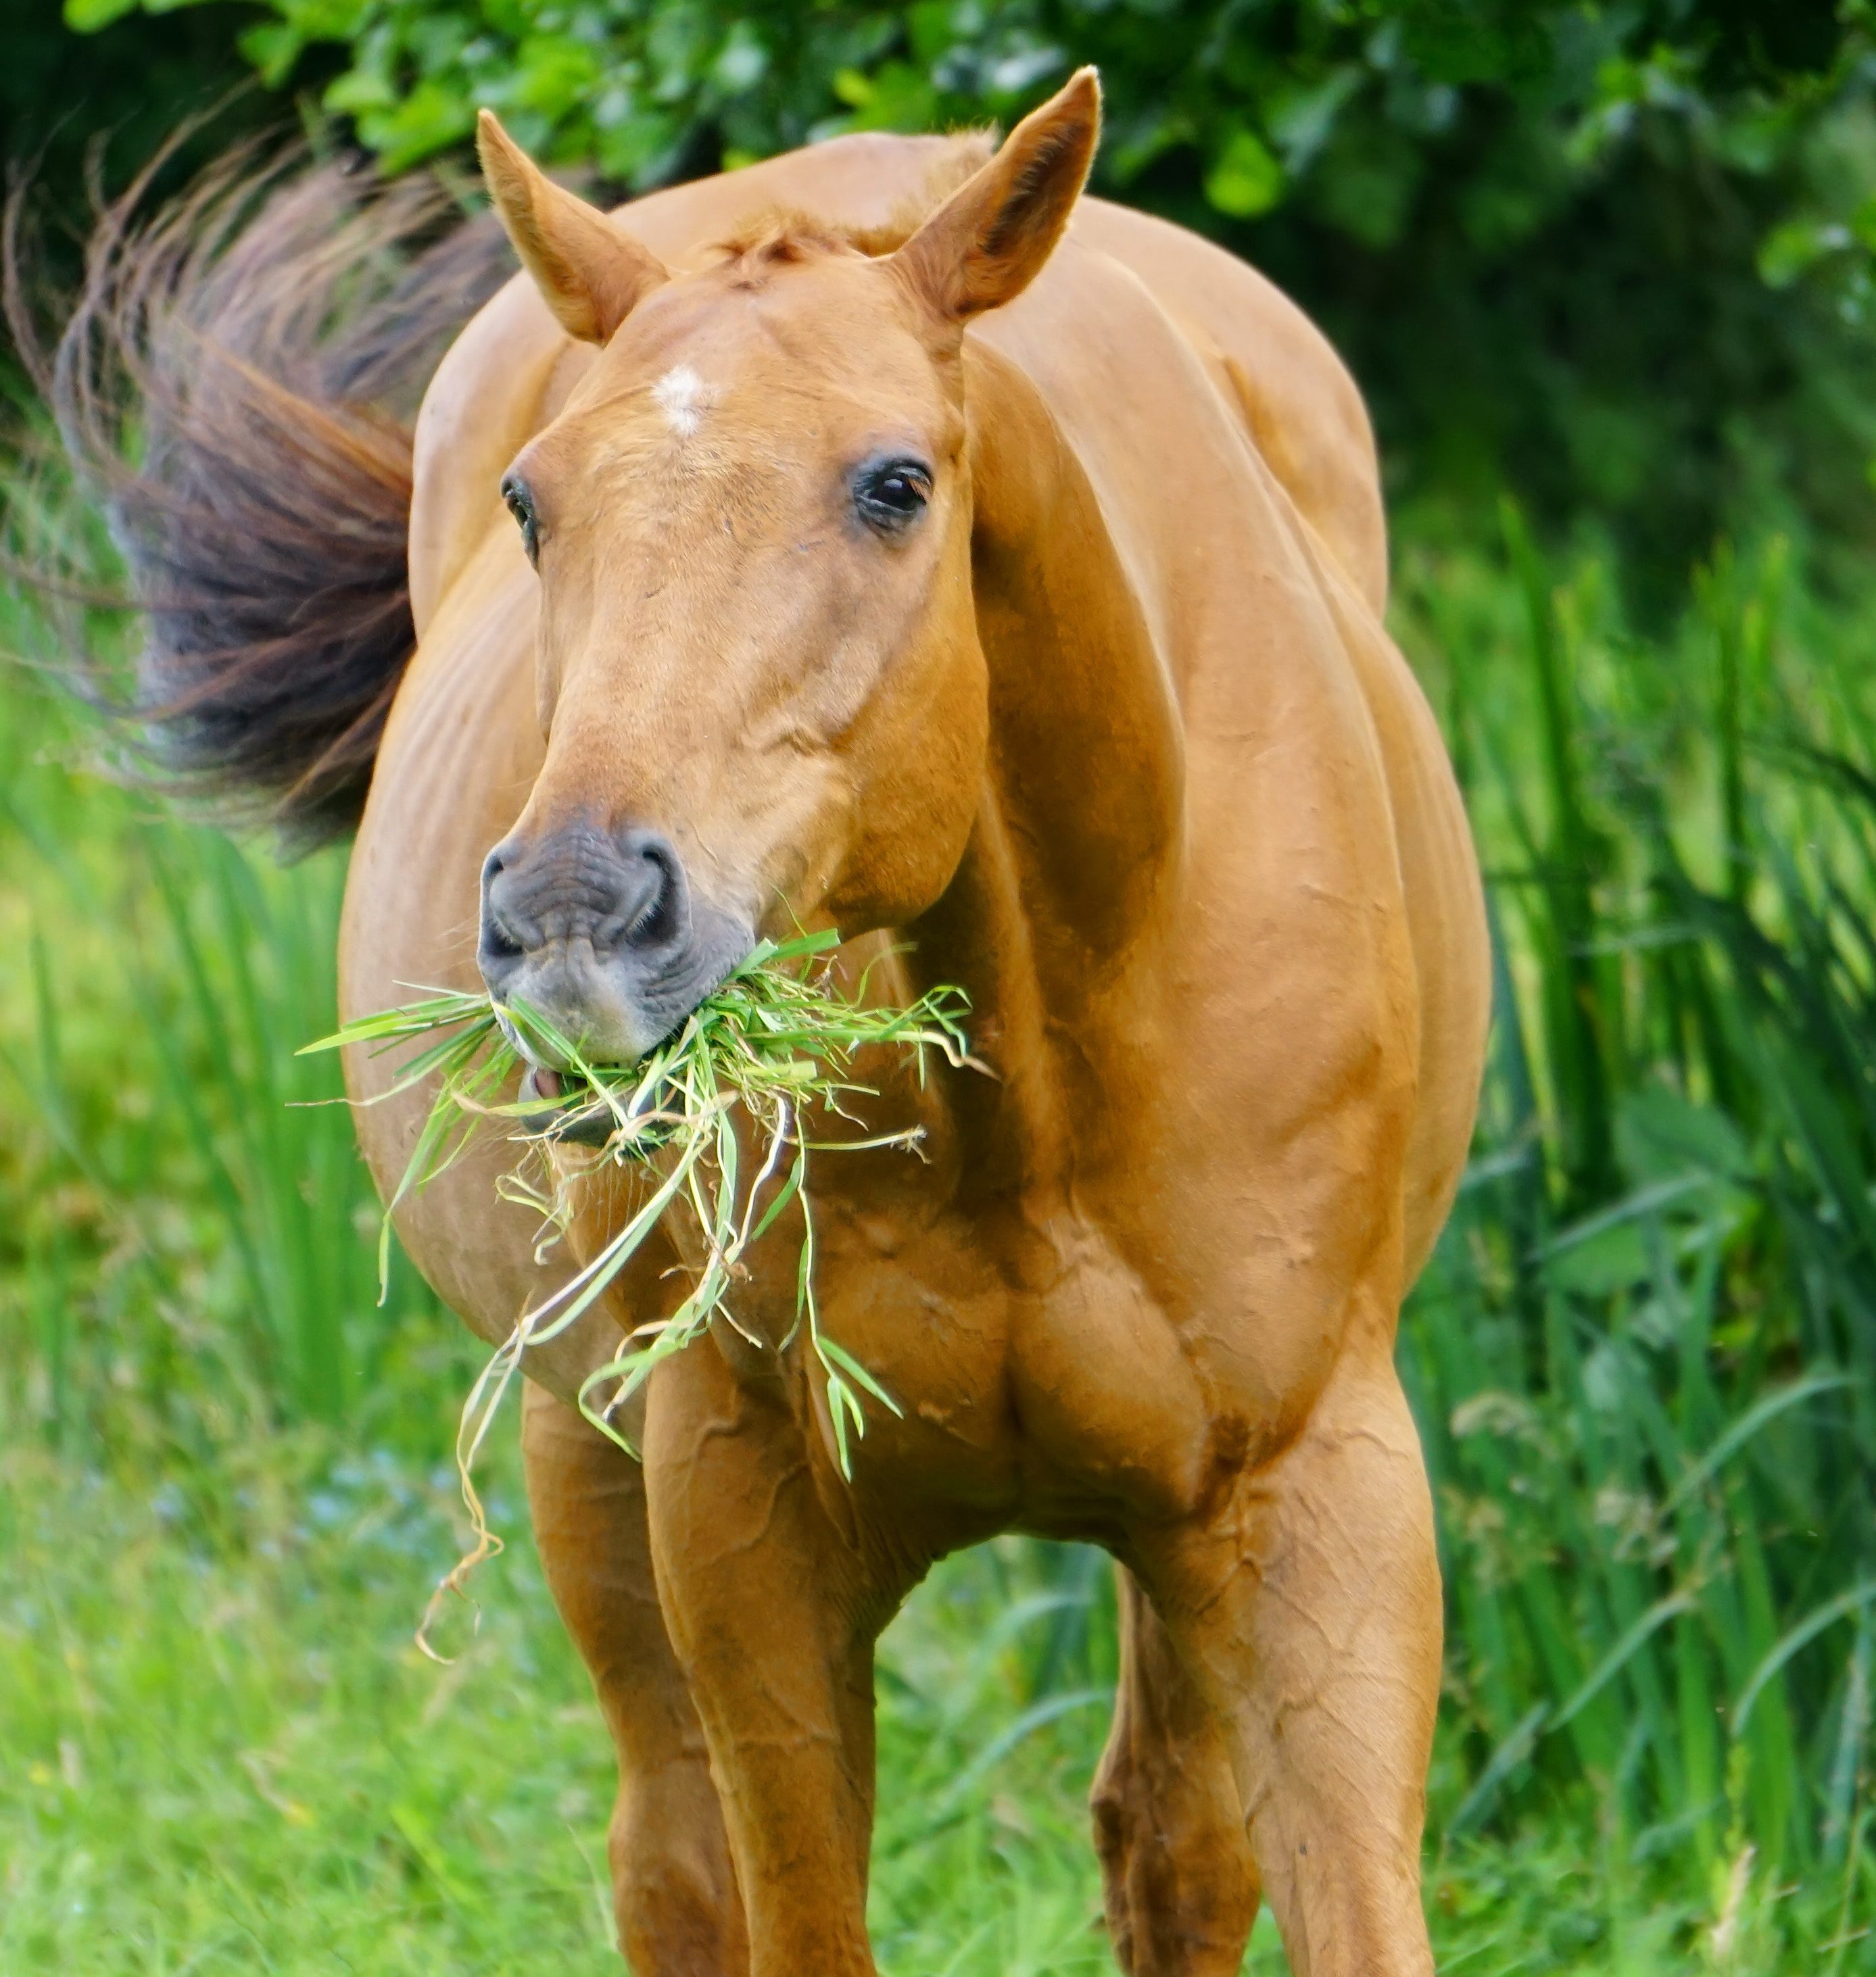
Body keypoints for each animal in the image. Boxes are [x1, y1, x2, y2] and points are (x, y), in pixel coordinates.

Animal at [58, 70, 1486, 1977]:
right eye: (533, 501)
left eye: (895, 484)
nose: (575, 909)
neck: (1040, 1074)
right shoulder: (745, 1518)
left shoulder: (1312, 1500)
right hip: (582, 1457)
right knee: (670, 1860)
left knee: (1169, 1844)